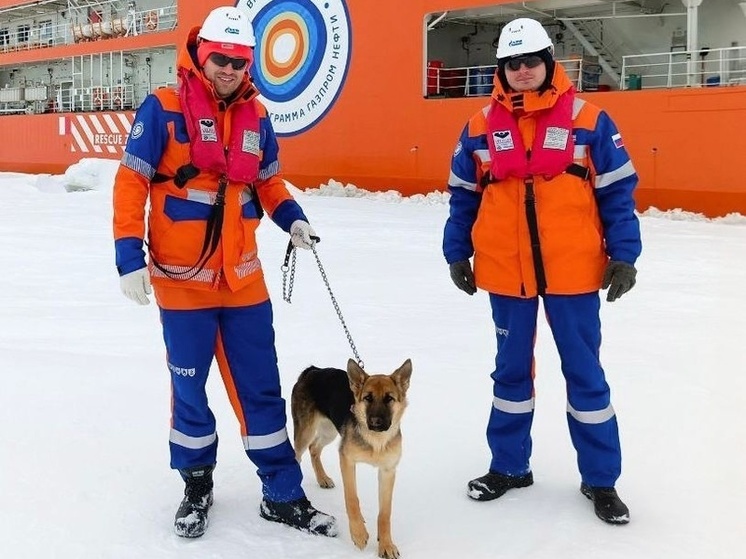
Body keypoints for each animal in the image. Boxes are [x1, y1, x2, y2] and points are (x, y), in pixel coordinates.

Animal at [290, 358, 410, 559]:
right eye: (368, 398)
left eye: (389, 399)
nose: (376, 422)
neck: (376, 441)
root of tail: (313, 370)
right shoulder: (346, 460)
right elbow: (352, 498)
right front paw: (359, 534)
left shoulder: (388, 471)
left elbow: (385, 513)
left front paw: (386, 544)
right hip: (305, 432)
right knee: (297, 455)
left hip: (329, 431)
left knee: (314, 448)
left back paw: (322, 479)